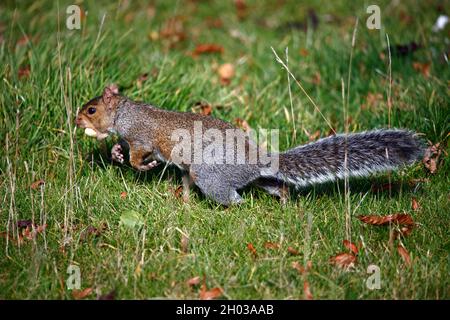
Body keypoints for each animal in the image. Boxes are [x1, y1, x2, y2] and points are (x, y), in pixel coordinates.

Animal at [76, 85, 426, 205]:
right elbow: (122, 151)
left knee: (232, 197)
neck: (125, 112)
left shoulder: (141, 136)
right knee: (276, 185)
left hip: (210, 174)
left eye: (91, 110)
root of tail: (257, 159)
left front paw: (141, 164)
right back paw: (284, 202)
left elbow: (140, 156)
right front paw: (115, 153)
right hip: (261, 179)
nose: (77, 120)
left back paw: (233, 206)